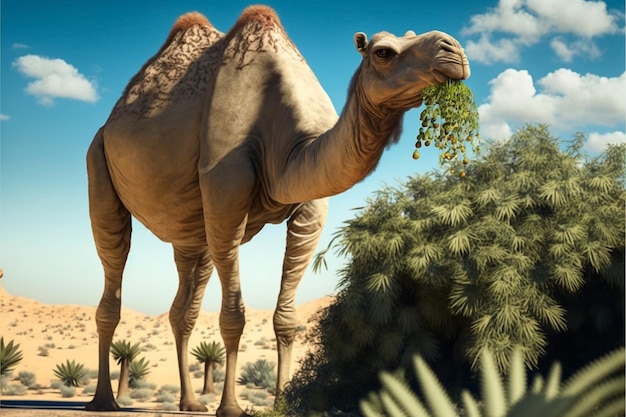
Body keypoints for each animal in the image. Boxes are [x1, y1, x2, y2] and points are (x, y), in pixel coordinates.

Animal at [84, 4, 468, 416]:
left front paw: (282, 402)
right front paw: (230, 407)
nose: (454, 50)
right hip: (98, 162)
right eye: (383, 52)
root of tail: (109, 122)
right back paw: (104, 400)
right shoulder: (225, 188)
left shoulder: (310, 204)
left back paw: (189, 401)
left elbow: (285, 320)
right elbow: (233, 317)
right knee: (112, 279)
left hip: (192, 231)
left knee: (182, 307)